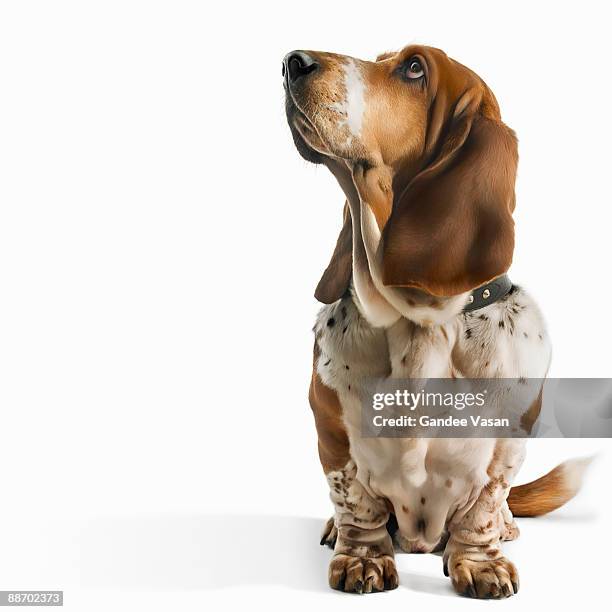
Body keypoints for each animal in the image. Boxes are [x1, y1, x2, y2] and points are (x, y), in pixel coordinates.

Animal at [284, 45, 592, 600]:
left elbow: (484, 508)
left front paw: (481, 564)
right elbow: (356, 503)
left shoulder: (506, 447)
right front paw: (362, 557)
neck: (418, 319)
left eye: (414, 69)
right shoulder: (333, 435)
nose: (293, 61)